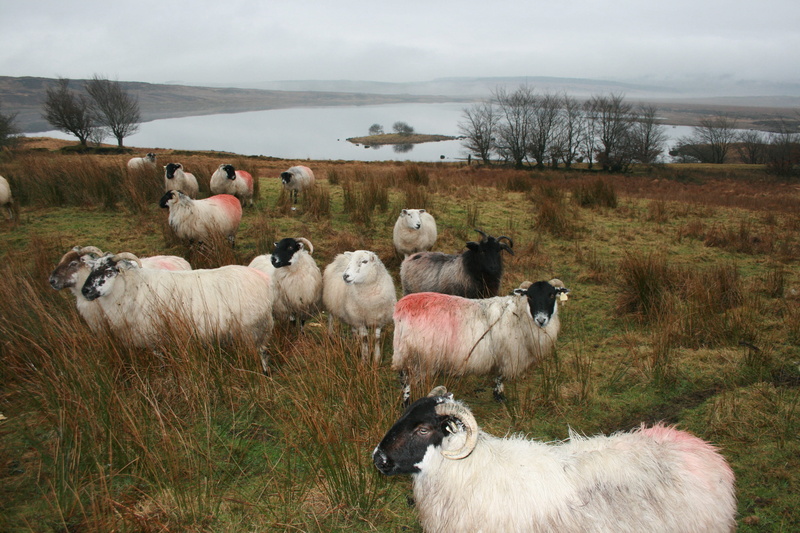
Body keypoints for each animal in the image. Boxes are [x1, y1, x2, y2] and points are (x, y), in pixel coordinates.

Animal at [81, 252, 275, 372]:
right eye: (92, 269)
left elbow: (160, 359)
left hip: (253, 328)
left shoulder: (154, 335)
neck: (133, 287)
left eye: (108, 270)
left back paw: (264, 373)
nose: (85, 291)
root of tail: (264, 280)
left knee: (262, 353)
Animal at [392, 279, 568, 403]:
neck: (520, 314)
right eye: (530, 296)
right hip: (416, 354)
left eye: (552, 295)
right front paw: (499, 395)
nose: (541, 319)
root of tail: (401, 307)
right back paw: (407, 401)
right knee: (405, 378)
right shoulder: (507, 354)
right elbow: (500, 376)